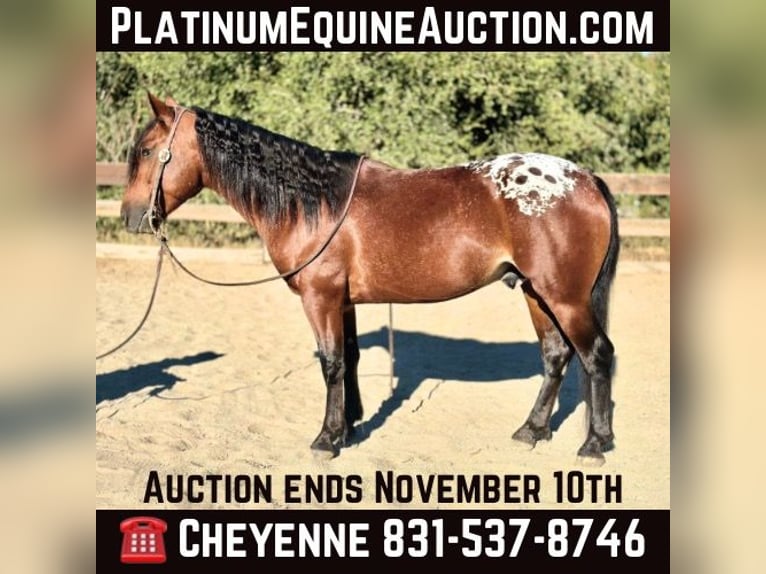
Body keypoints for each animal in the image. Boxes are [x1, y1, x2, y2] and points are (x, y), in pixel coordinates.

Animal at [121, 92, 620, 464]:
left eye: (145, 152)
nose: (130, 217)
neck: (314, 204)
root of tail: (585, 178)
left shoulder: (320, 298)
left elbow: (331, 363)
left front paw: (327, 439)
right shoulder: (342, 302)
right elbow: (351, 357)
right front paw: (349, 424)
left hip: (565, 298)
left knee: (597, 355)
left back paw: (594, 444)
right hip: (537, 293)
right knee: (556, 356)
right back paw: (531, 431)